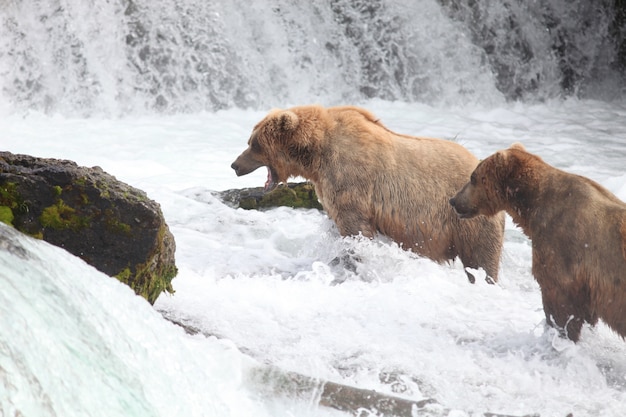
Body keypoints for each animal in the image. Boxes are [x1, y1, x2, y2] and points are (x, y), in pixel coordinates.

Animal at [232, 104, 504, 282]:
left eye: (254, 144)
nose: (235, 165)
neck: (316, 155)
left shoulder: (351, 180)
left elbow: (355, 230)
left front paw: (351, 263)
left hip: (469, 220)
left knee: (481, 258)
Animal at [448, 143, 624, 342]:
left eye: (473, 177)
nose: (453, 200)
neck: (533, 206)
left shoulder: (563, 245)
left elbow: (560, 301)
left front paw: (560, 335)